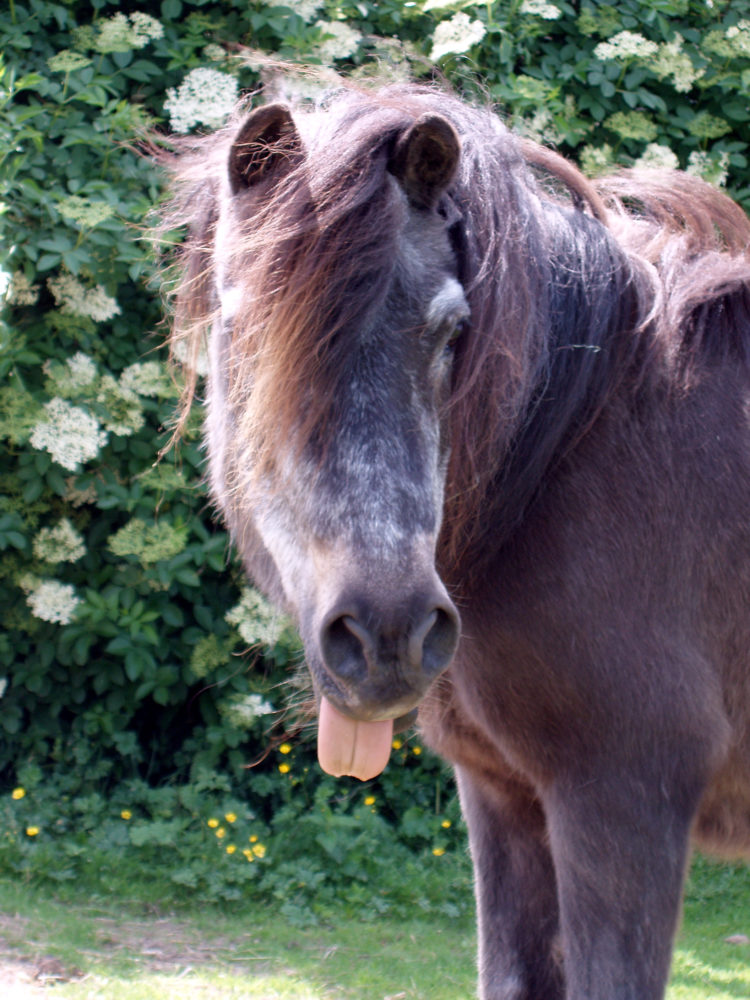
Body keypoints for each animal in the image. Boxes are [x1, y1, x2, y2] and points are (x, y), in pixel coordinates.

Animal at [162, 88, 750, 1000]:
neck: (569, 454)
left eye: (449, 332)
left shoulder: (622, 805)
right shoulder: (503, 798)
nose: (389, 634)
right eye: (247, 327)